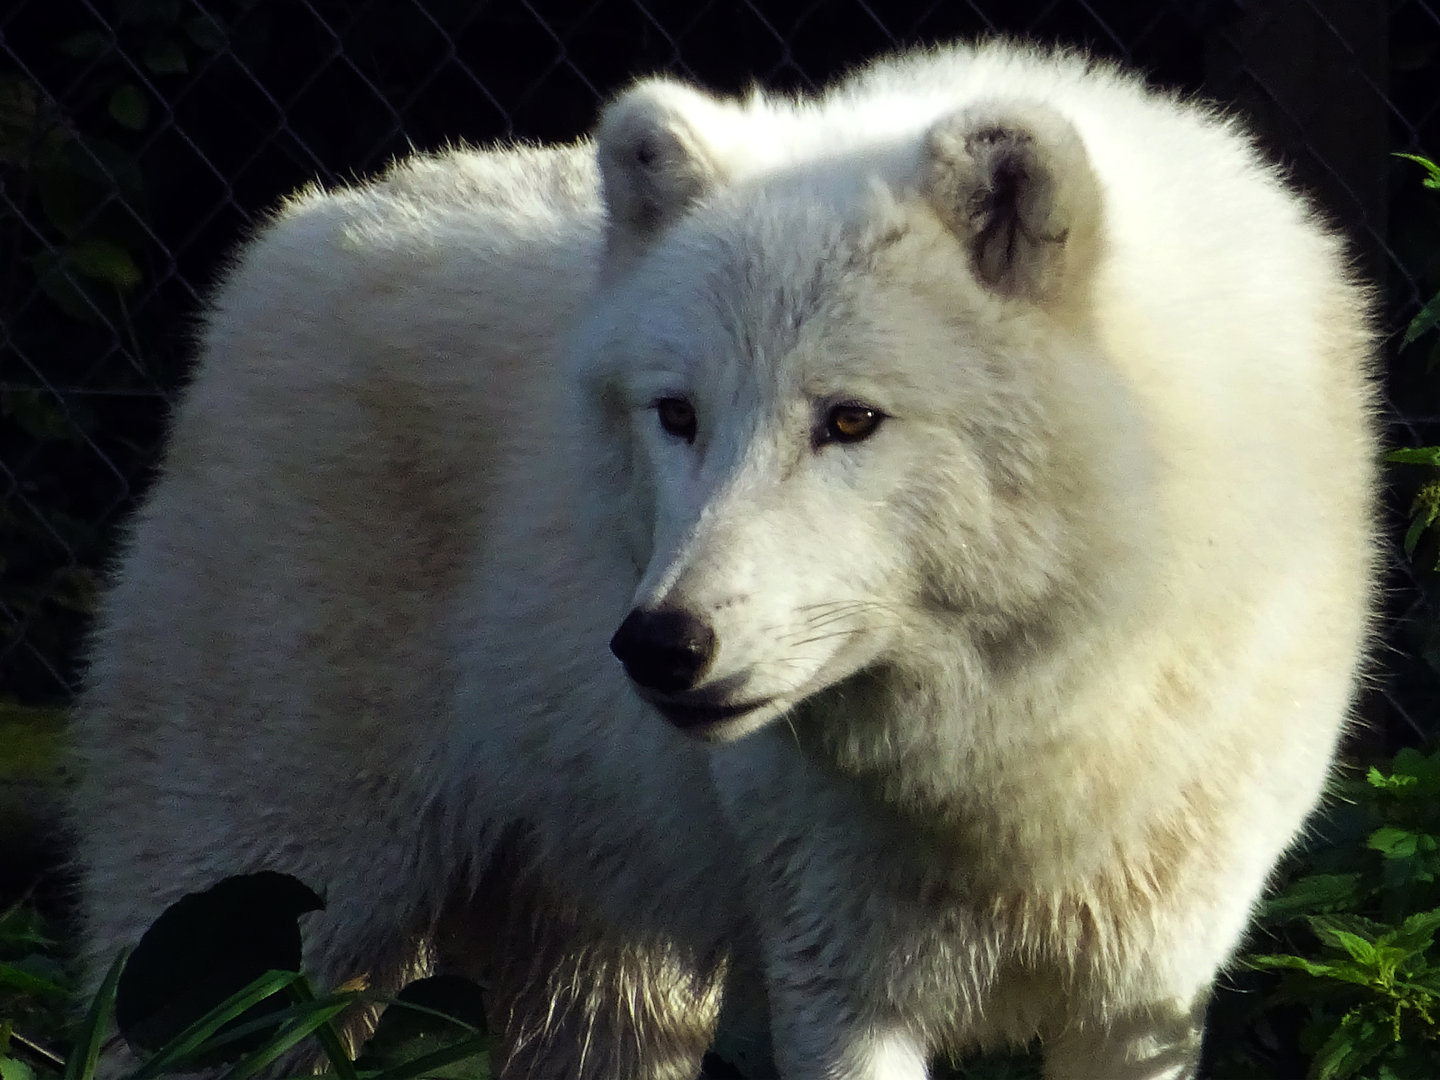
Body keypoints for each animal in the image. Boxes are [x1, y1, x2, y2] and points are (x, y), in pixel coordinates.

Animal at [73, 41, 1377, 1080]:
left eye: (850, 419)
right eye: (679, 415)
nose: (659, 645)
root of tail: (300, 226)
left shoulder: (1145, 1002)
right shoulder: (838, 991)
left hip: (601, 993)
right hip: (259, 925)